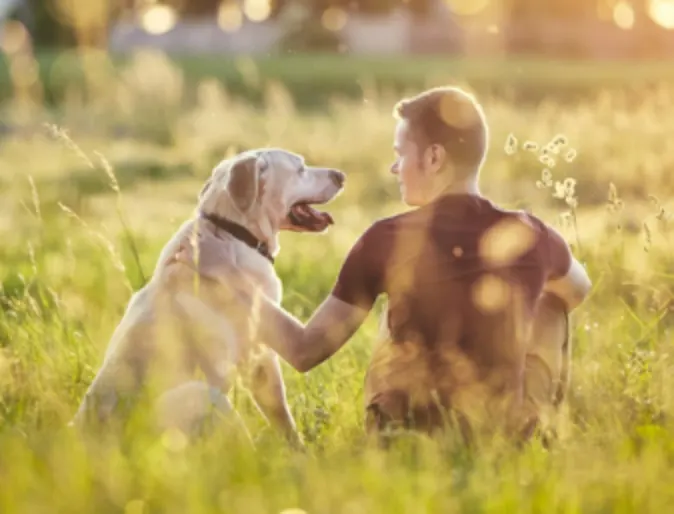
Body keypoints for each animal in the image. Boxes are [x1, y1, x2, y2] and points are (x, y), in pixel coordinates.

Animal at [71, 148, 344, 444]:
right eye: (300, 168)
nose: (341, 175)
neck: (232, 231)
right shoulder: (260, 354)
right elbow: (282, 414)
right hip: (205, 396)